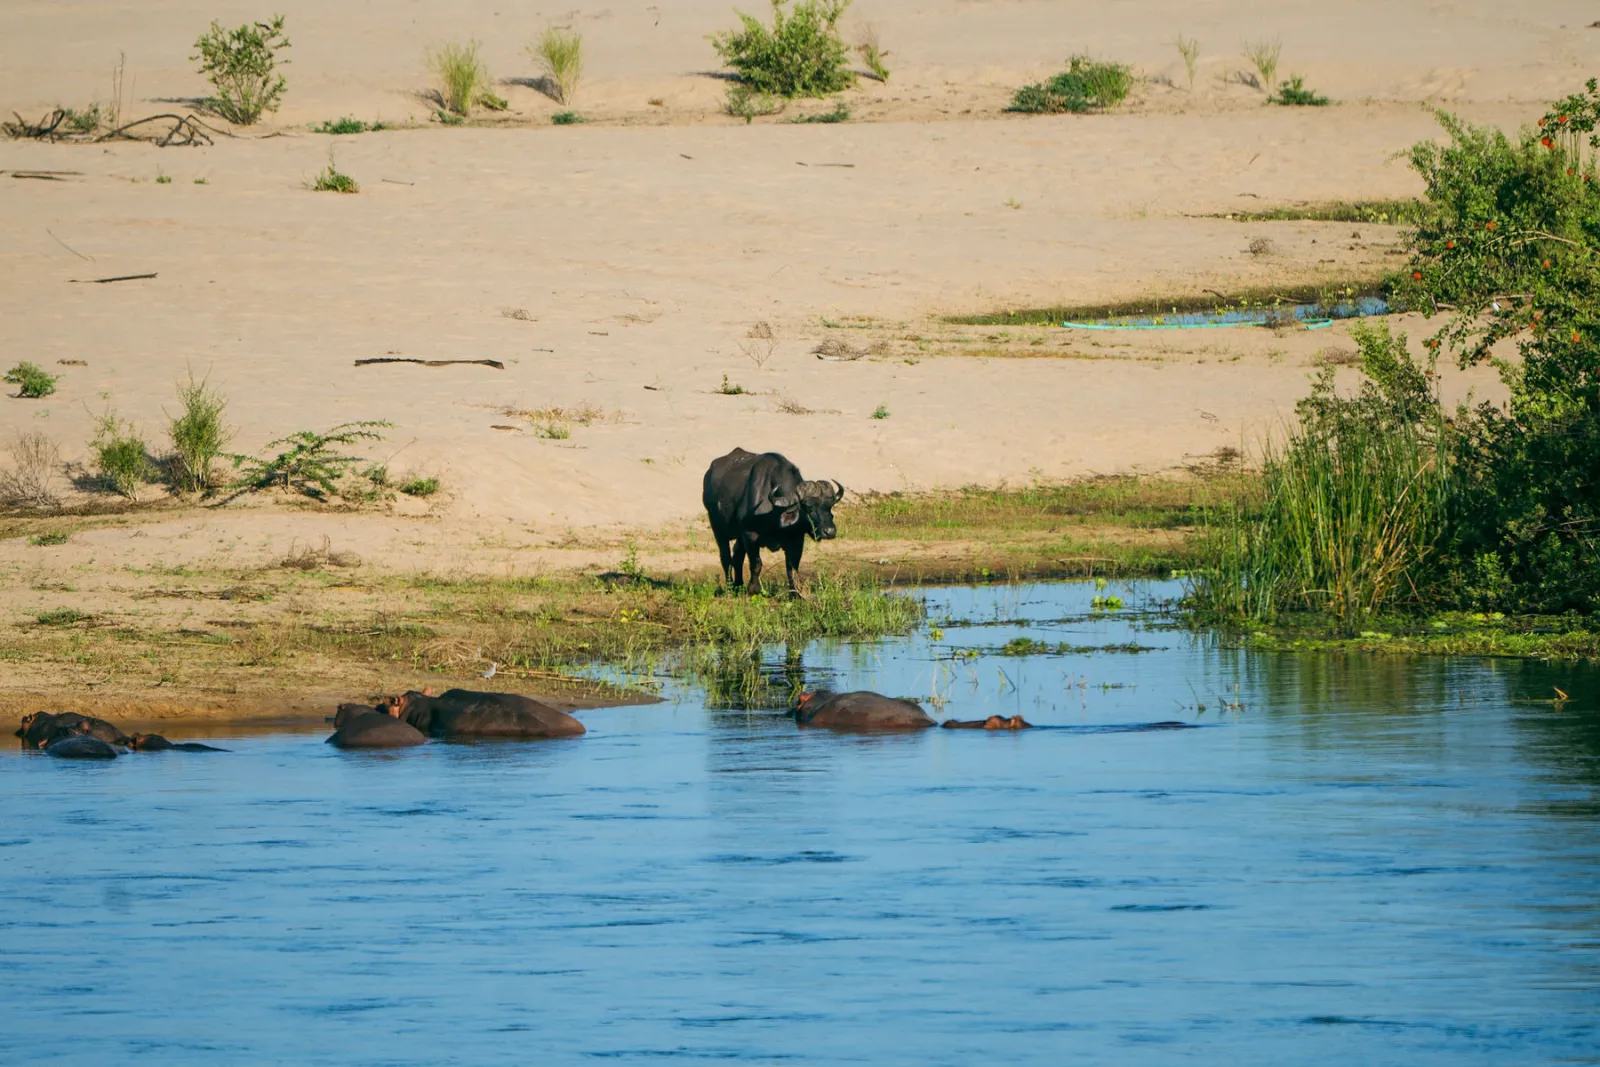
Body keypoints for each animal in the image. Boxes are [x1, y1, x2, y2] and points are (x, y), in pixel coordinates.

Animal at [702, 447, 843, 593]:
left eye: (830, 506)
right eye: (809, 507)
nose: (829, 531)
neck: (775, 516)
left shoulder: (797, 539)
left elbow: (792, 567)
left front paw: (795, 593)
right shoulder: (749, 535)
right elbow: (756, 564)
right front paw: (753, 589)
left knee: (737, 555)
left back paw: (738, 585)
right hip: (717, 528)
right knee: (725, 557)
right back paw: (730, 586)